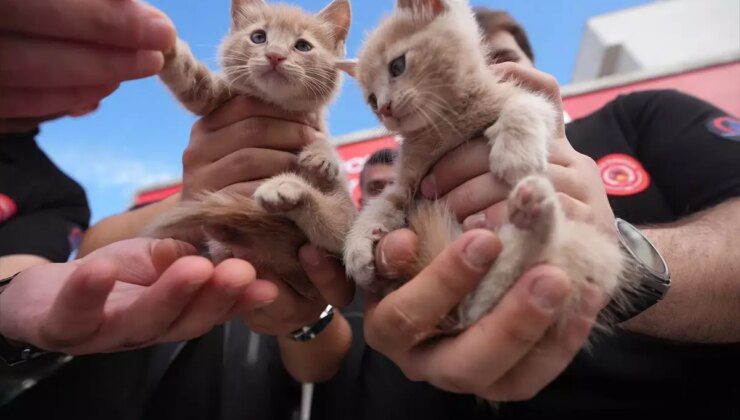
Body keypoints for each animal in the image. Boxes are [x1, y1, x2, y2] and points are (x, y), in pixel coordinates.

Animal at [149, 0, 356, 298]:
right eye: (259, 37)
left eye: (303, 46)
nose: (275, 56)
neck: (273, 102)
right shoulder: (214, 97)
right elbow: (192, 81)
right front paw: (167, 47)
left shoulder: (314, 121)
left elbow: (324, 140)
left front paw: (321, 156)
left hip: (345, 220)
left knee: (333, 227)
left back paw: (284, 189)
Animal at [344, 0, 628, 330]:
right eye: (371, 100)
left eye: (397, 66)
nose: (385, 110)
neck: (445, 122)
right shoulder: (405, 183)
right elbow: (379, 205)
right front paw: (357, 248)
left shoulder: (526, 97)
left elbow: (525, 106)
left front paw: (516, 155)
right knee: (479, 305)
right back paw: (533, 215)